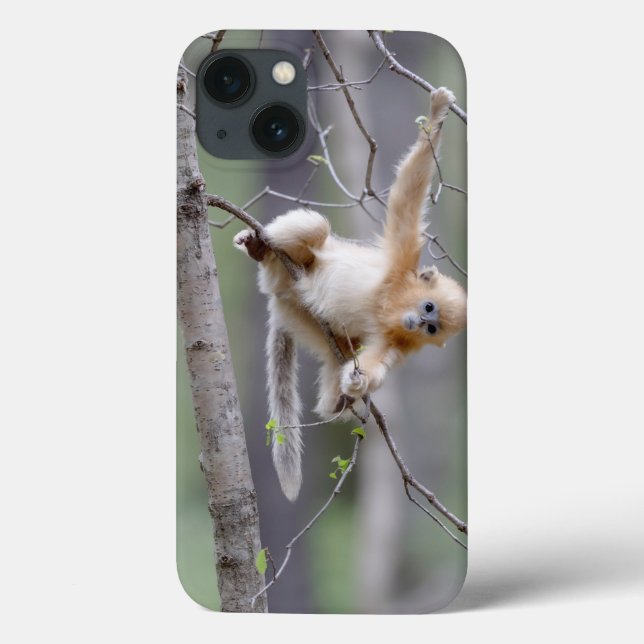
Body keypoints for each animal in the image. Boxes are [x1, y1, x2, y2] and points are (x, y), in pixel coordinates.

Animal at [233, 87, 466, 502]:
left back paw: (338, 399)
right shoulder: (400, 262)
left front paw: (357, 384)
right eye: (427, 307)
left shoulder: (397, 342)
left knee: (336, 362)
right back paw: (261, 247)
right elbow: (407, 198)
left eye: (432, 329)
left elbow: (375, 364)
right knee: (315, 227)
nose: (419, 322)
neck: (390, 305)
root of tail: (280, 294)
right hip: (293, 267)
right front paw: (438, 113)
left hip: (304, 320)